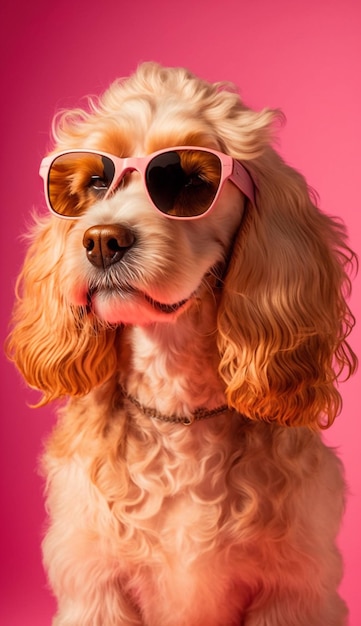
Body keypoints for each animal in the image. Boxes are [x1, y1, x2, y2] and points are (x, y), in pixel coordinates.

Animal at [7, 61, 356, 620]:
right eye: (96, 181)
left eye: (190, 182)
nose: (101, 241)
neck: (175, 406)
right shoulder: (96, 583)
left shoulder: (291, 587)